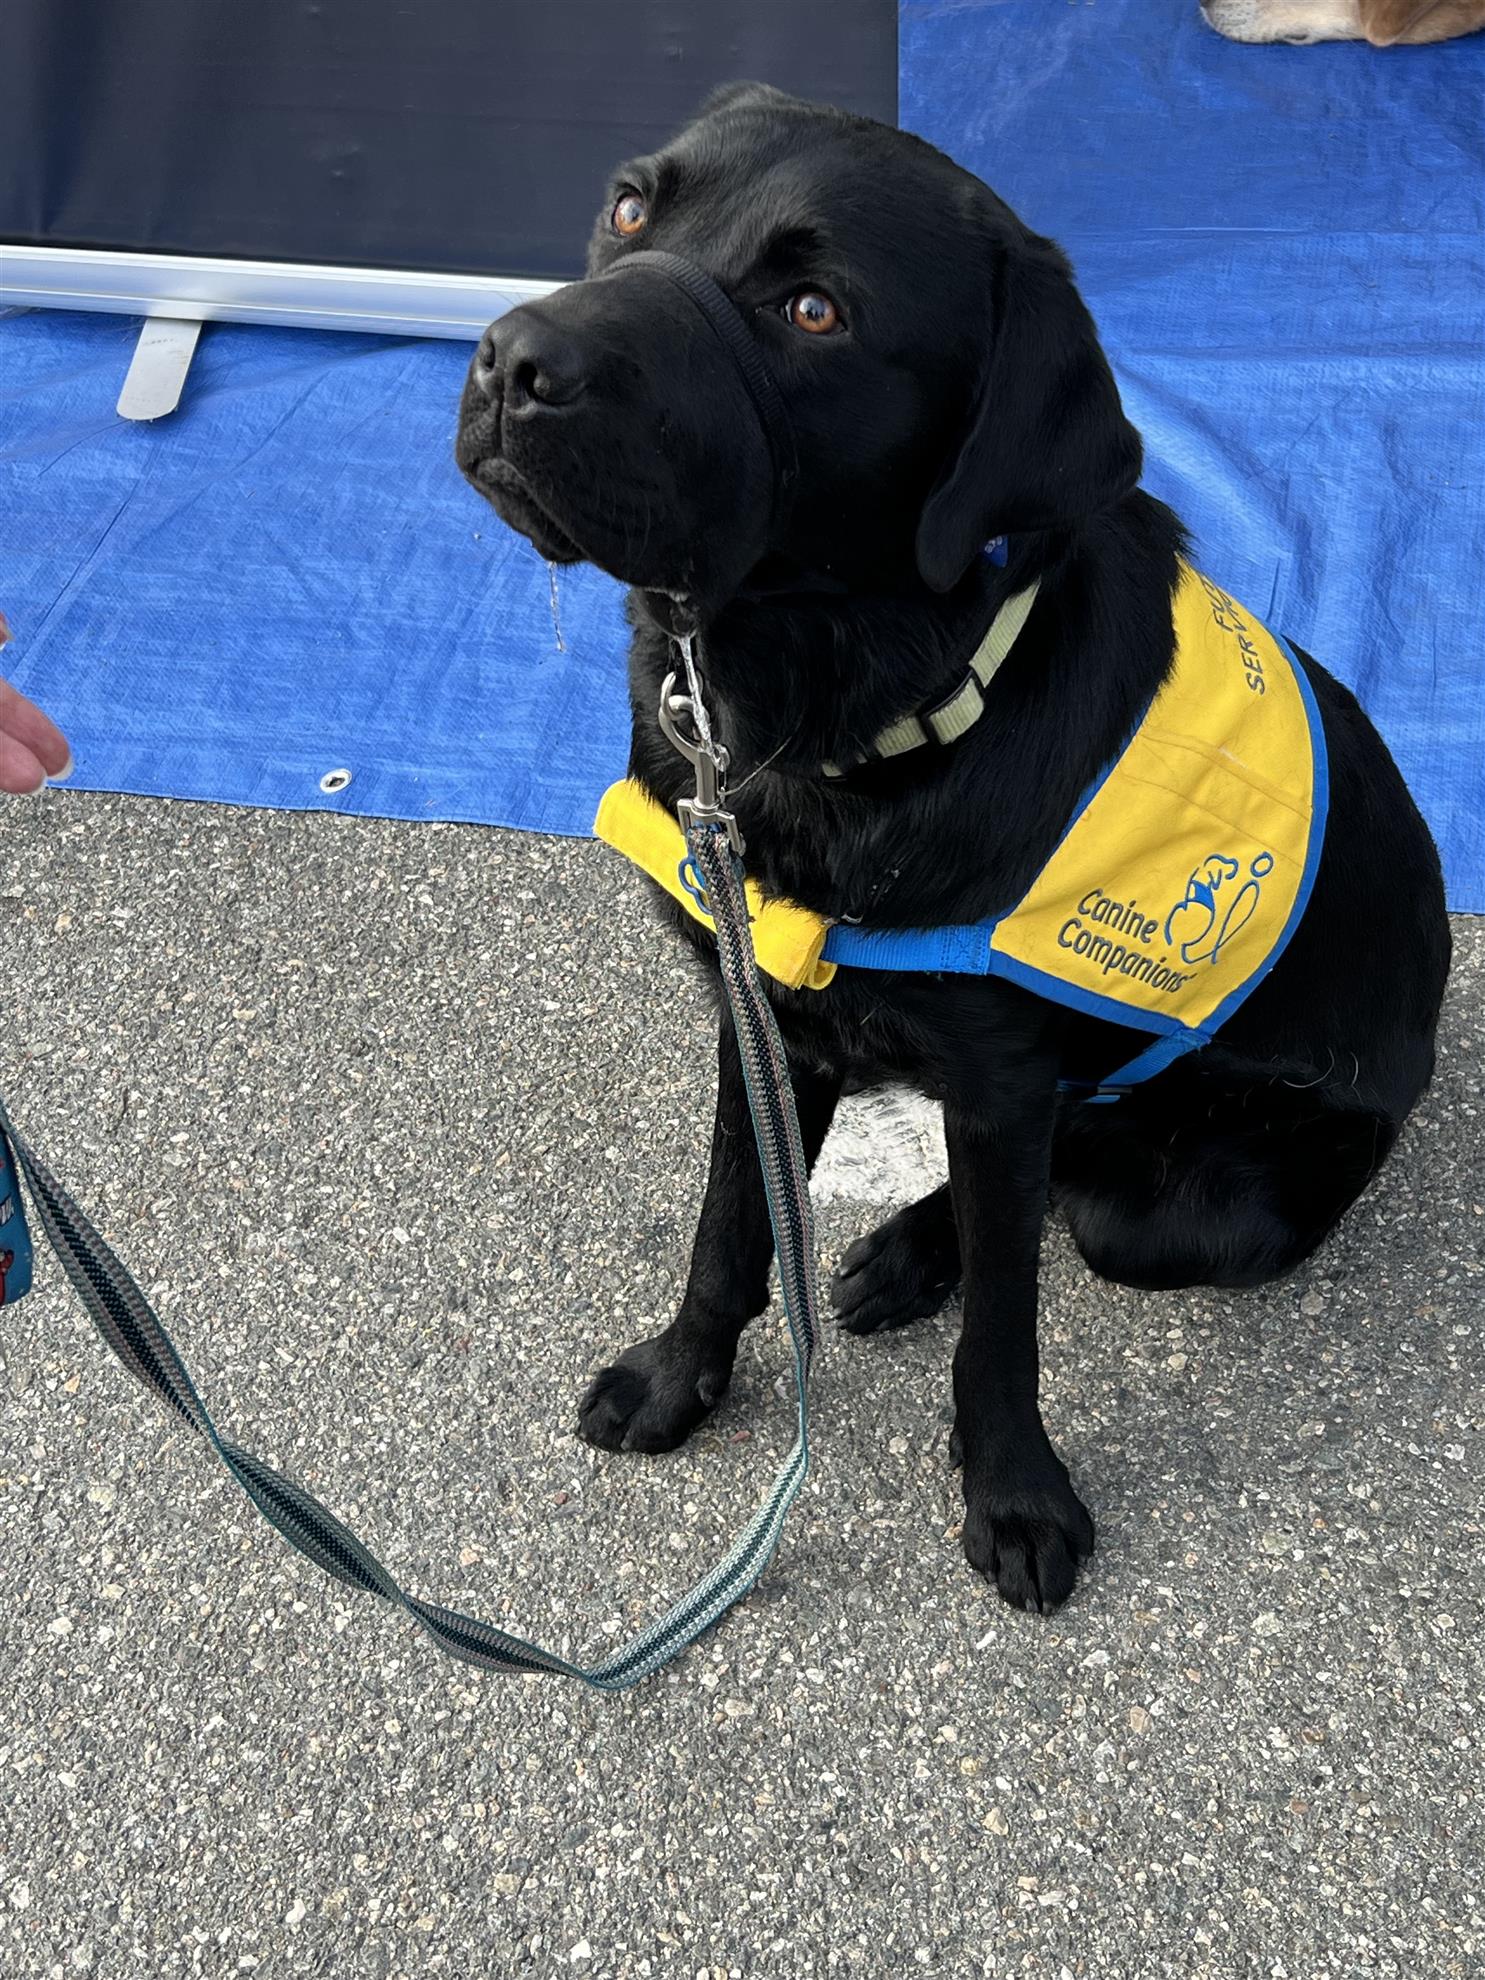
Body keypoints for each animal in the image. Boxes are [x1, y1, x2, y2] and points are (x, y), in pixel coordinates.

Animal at [456, 85, 1450, 1614]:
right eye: (630, 207)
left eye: (812, 311)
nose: (514, 358)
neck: (832, 717)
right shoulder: (763, 1020)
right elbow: (732, 1226)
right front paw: (681, 1379)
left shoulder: (993, 1078)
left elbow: (1003, 1329)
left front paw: (1015, 1493)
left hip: (1198, 1198)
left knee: (1074, 1181)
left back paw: (926, 1247)